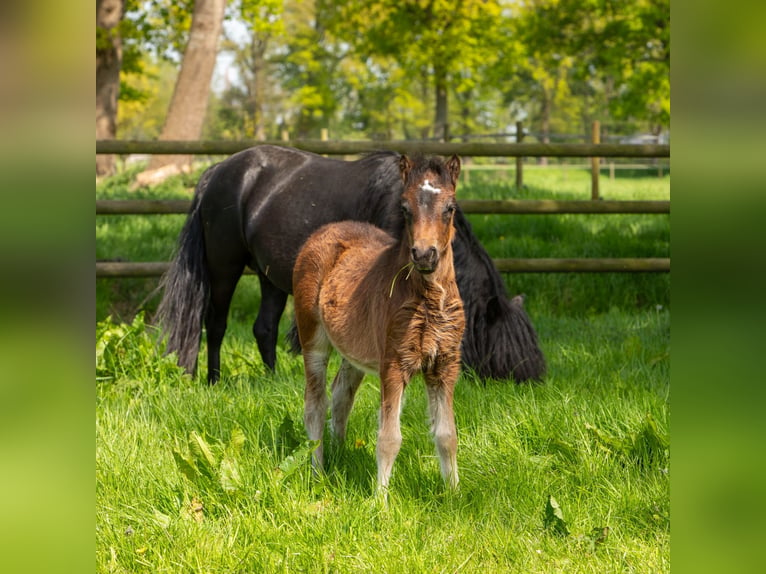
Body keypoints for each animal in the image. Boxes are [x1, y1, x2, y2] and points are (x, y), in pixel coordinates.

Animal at [159, 146, 544, 384]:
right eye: (505, 348)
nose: (532, 381)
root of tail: (218, 171)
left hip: (271, 277)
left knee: (263, 328)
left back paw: (273, 379)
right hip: (224, 266)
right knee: (215, 323)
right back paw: (213, 380)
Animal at [292, 155, 462, 492]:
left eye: (450, 208)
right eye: (405, 208)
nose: (424, 254)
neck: (430, 300)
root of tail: (324, 231)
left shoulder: (445, 365)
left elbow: (447, 436)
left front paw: (455, 494)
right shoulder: (394, 364)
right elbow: (388, 439)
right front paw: (380, 499)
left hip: (354, 350)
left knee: (341, 395)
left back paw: (340, 456)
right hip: (313, 338)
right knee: (315, 404)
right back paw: (318, 472)